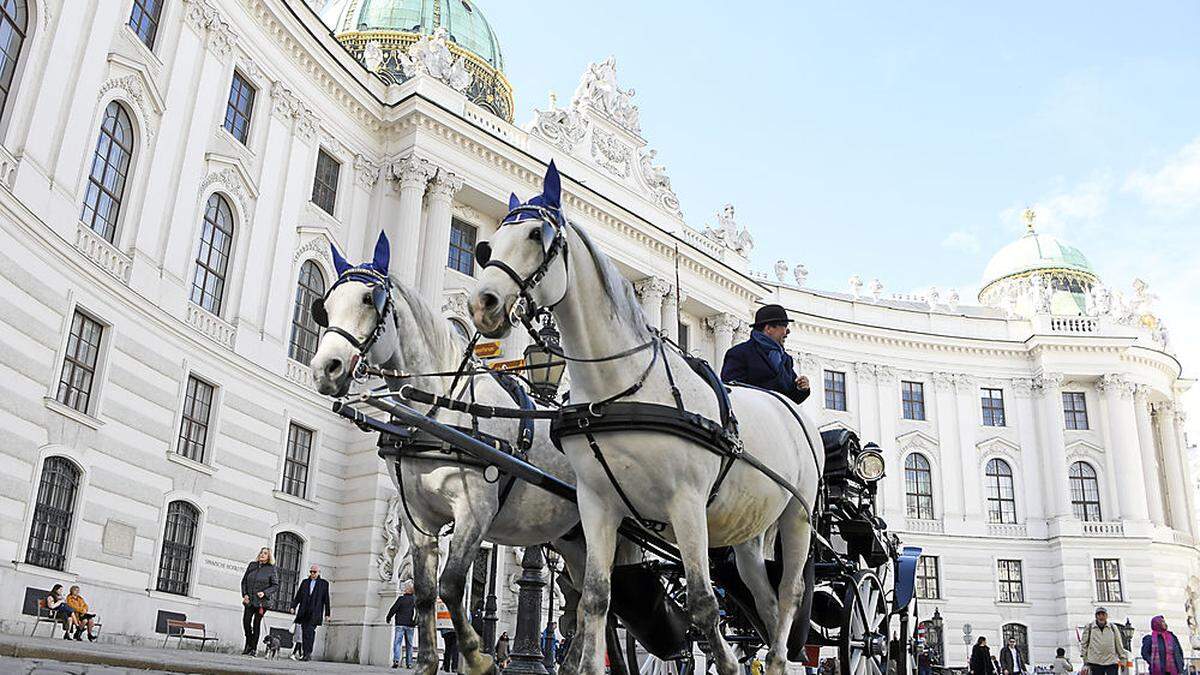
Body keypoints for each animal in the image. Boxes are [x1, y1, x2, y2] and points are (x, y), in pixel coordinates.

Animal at [309, 233, 585, 672]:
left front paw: (477, 656)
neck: (437, 412)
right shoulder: (416, 515)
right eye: (325, 306)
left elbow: (452, 584)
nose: (325, 369)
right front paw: (426, 661)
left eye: (371, 299)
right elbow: (424, 591)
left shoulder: (475, 510)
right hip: (570, 540)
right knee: (584, 601)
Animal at [468, 162, 825, 672]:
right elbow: (596, 599)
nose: (484, 304)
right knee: (765, 599)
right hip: (749, 531)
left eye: (538, 234)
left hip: (798, 516)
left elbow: (702, 603)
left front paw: (727, 662)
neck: (623, 387)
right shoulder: (598, 504)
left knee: (791, 593)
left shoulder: (687, 504)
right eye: (488, 245)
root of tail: (788, 405)